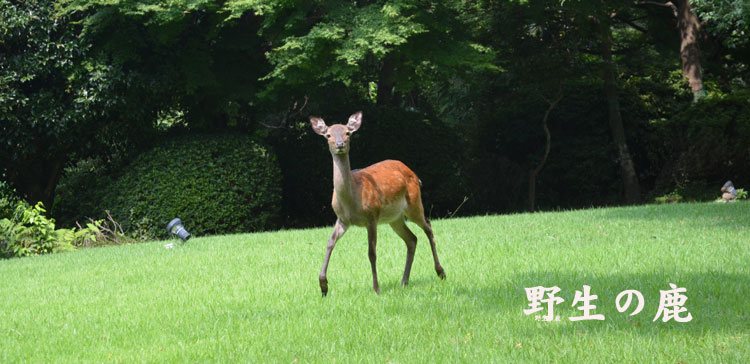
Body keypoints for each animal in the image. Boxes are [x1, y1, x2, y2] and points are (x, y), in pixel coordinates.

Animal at [312, 111, 446, 296]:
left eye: (348, 133)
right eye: (328, 135)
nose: (340, 144)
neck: (350, 201)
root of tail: (414, 174)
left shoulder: (372, 216)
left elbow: (371, 252)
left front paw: (376, 288)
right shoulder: (342, 220)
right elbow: (330, 243)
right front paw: (323, 286)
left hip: (414, 203)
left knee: (428, 227)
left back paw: (441, 272)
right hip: (394, 218)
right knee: (412, 239)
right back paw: (404, 281)